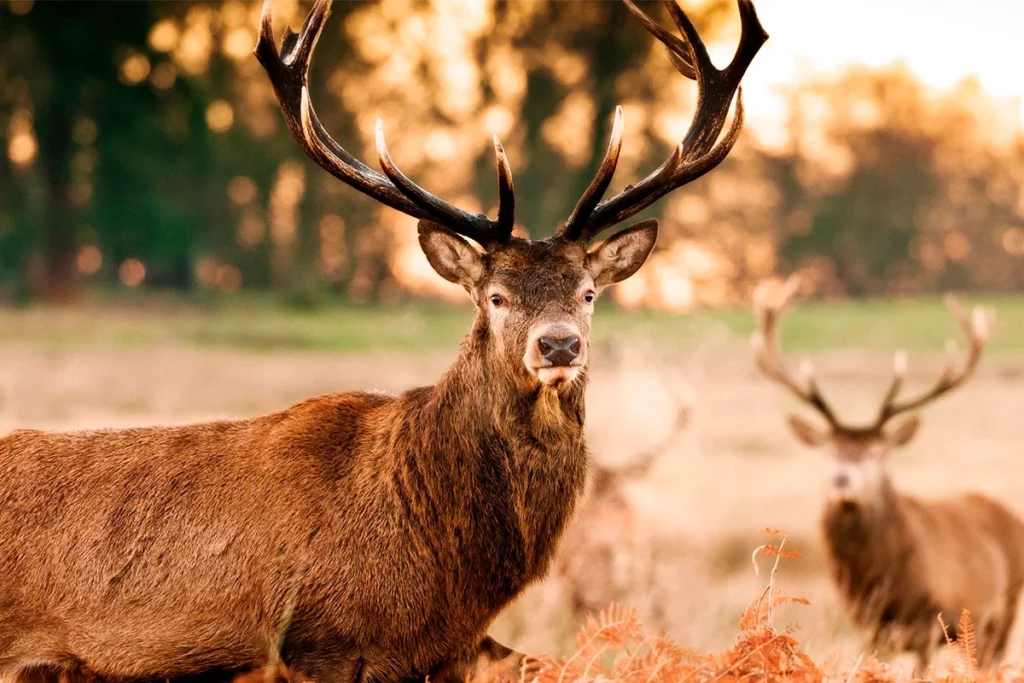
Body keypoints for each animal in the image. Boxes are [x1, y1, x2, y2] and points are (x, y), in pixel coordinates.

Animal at [0, 1, 770, 683]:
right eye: (494, 296)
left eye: (587, 293)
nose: (558, 347)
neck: (443, 573)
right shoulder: (316, 643)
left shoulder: (452, 652)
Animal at [753, 274, 1024, 671]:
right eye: (830, 451)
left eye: (877, 453)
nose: (842, 480)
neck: (884, 581)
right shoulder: (869, 627)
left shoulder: (931, 620)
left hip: (1002, 612)